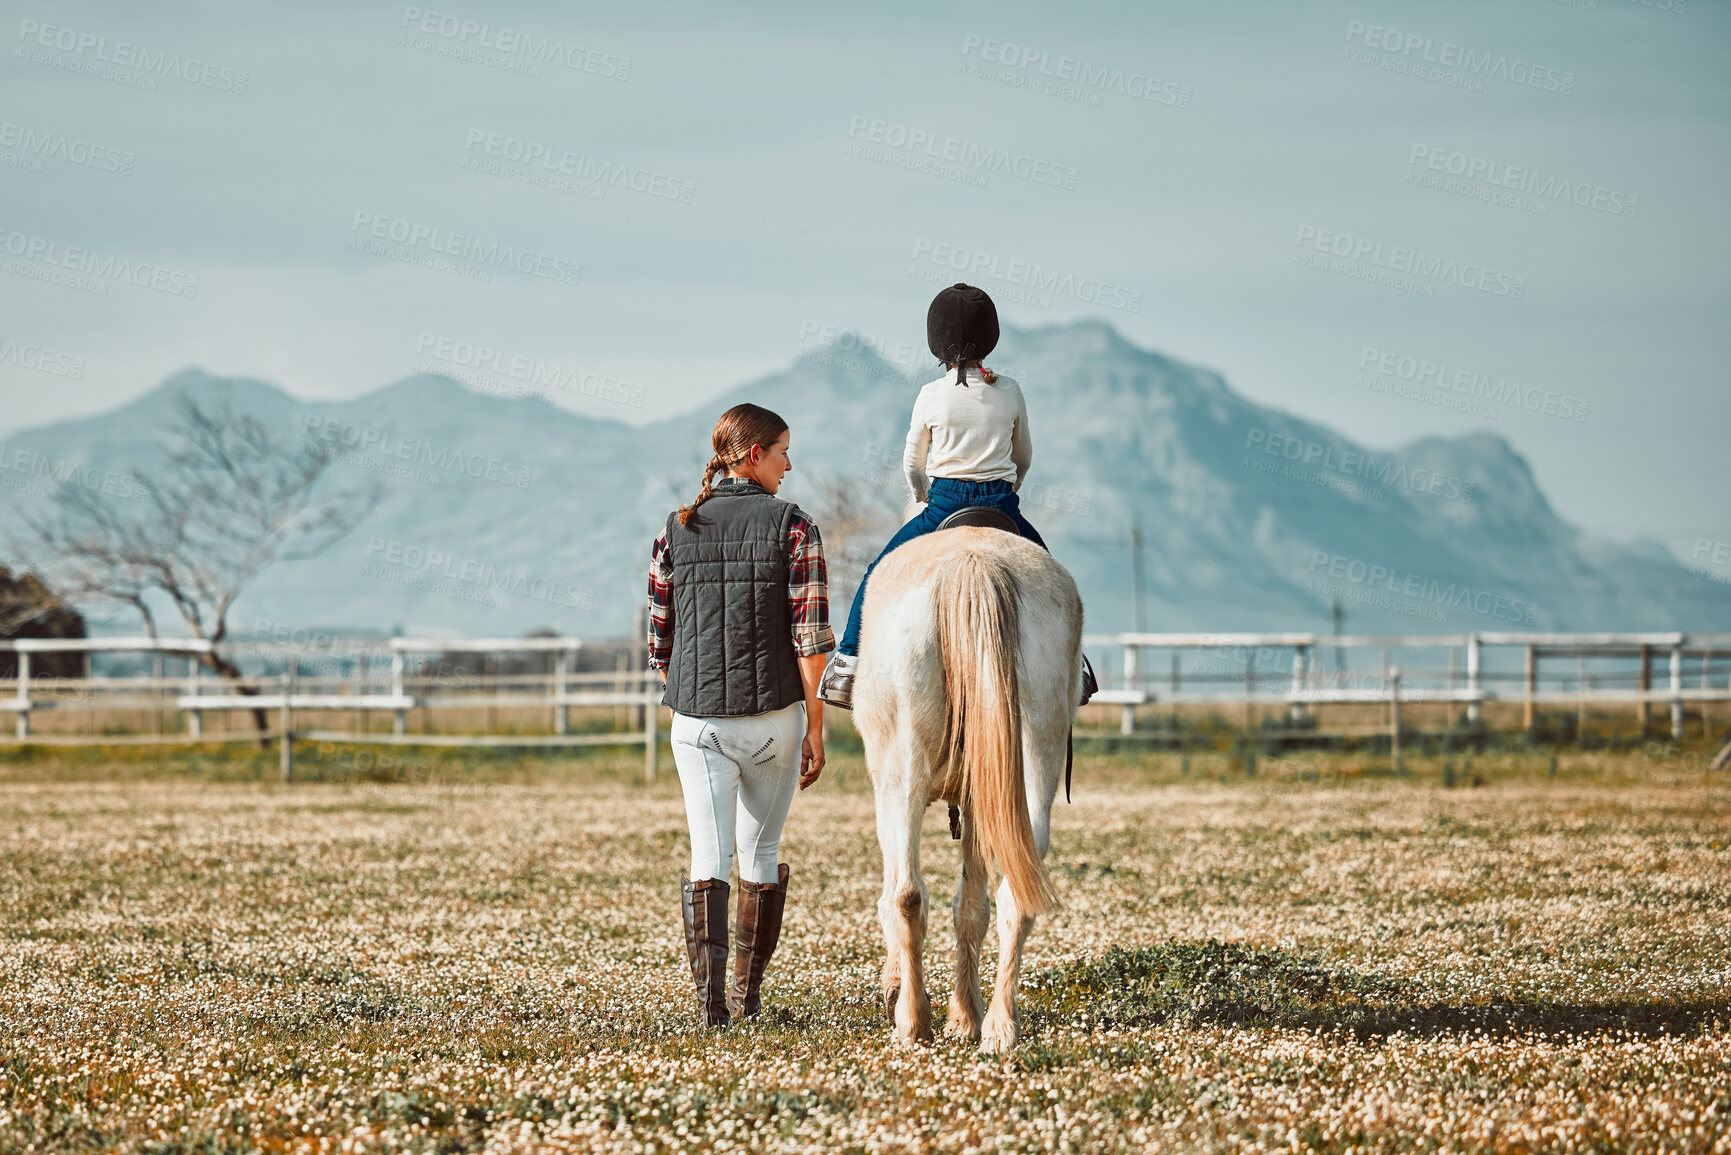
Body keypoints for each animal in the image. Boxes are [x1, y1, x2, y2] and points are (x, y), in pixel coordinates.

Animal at [855, 529, 1080, 1052]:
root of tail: (973, 562)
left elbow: (897, 897)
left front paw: (900, 990)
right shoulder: (981, 800)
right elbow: (972, 907)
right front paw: (965, 1015)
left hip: (903, 771)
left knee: (907, 894)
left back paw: (913, 1021)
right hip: (1035, 759)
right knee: (1017, 894)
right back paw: (999, 1025)